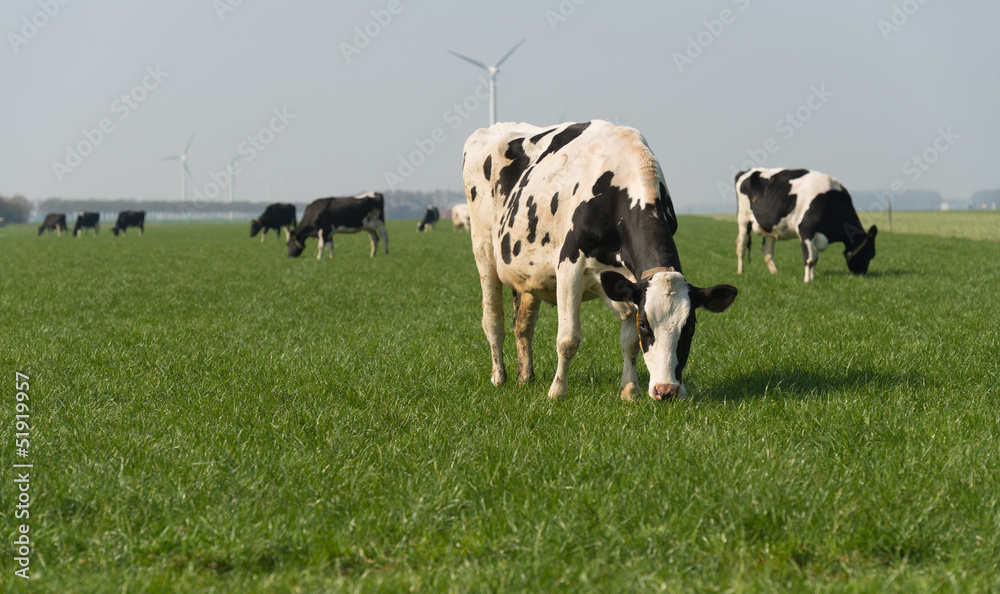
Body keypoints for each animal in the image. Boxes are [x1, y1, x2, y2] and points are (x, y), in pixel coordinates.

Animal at [460, 118, 736, 400]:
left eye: (689, 327)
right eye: (646, 326)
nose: (666, 390)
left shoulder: (630, 282)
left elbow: (629, 342)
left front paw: (630, 391)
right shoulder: (569, 266)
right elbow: (568, 338)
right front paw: (557, 392)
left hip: (527, 273)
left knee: (523, 325)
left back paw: (525, 378)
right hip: (483, 251)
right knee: (493, 320)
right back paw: (498, 377)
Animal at [736, 166, 876, 282]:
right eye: (871, 254)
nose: (862, 274)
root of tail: (746, 171)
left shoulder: (816, 234)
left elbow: (815, 259)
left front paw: (813, 277)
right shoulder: (806, 230)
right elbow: (809, 259)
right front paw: (807, 281)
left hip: (769, 228)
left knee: (767, 250)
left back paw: (775, 273)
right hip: (743, 219)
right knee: (741, 246)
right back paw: (740, 272)